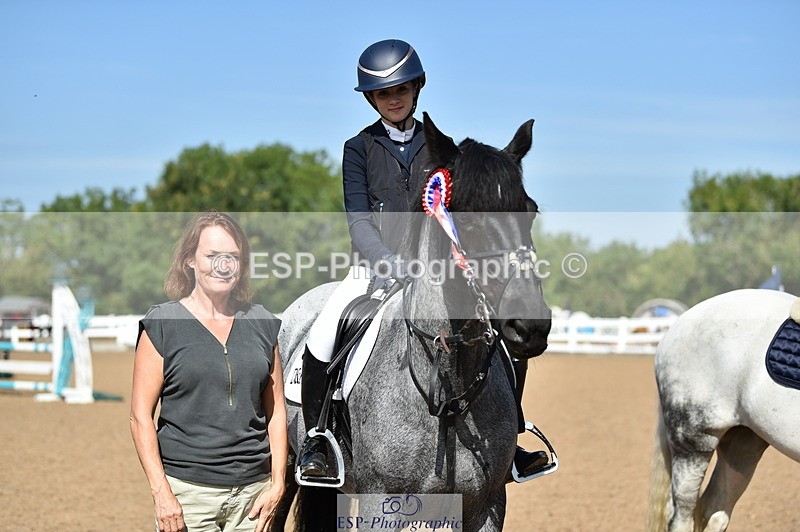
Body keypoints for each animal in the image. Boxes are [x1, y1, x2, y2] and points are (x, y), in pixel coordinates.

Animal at [273, 113, 552, 531]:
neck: (448, 392)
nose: (530, 326)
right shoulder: (380, 502)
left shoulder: (487, 505)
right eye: (463, 215)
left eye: (530, 210)